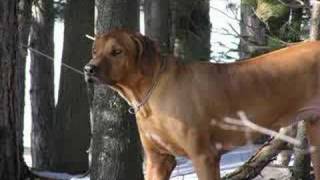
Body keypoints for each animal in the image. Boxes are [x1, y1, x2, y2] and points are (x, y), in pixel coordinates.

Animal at [85, 28, 320, 179]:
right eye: (95, 51)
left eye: (117, 51)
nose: (89, 69)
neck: (150, 92)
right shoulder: (158, 160)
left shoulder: (204, 156)